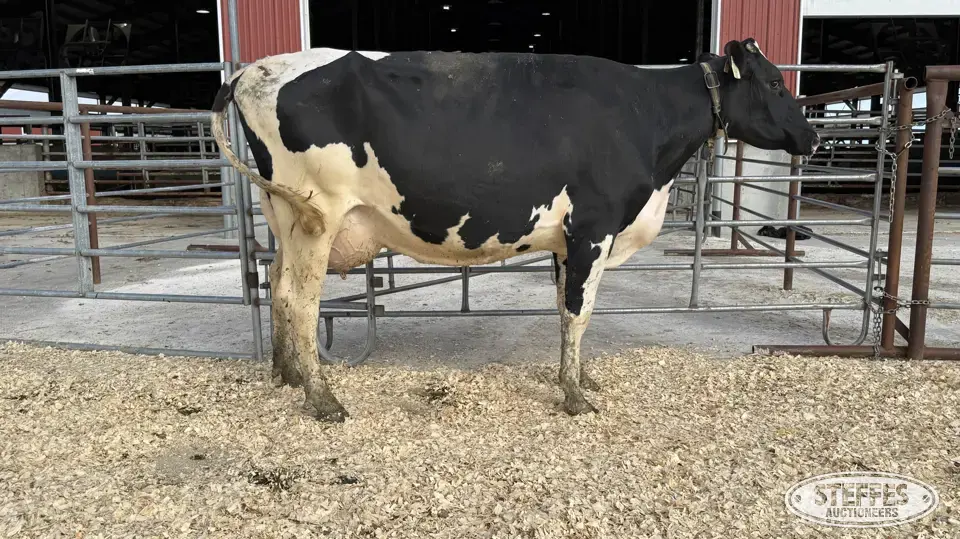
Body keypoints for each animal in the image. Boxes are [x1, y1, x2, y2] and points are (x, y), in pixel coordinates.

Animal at [210, 38, 819, 422]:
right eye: (773, 82)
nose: (813, 138)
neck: (644, 118)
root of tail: (253, 69)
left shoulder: (567, 240)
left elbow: (565, 311)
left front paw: (578, 378)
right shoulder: (593, 228)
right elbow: (580, 311)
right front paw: (575, 398)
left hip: (284, 216)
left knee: (275, 283)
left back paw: (287, 377)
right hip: (317, 214)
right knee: (299, 300)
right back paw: (323, 401)